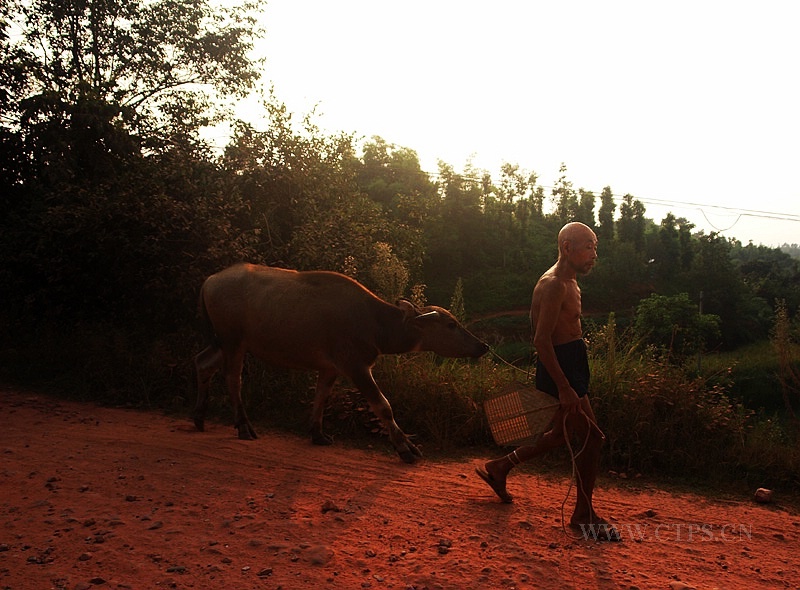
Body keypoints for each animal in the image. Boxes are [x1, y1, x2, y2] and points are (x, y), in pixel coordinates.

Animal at [194, 264, 488, 462]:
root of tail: (210, 280)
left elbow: (321, 398)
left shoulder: (330, 368)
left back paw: (199, 417)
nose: (482, 346)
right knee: (233, 378)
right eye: (451, 324)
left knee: (202, 363)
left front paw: (317, 434)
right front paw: (406, 448)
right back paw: (243, 426)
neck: (374, 324)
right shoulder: (355, 366)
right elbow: (383, 406)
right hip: (233, 340)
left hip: (226, 342)